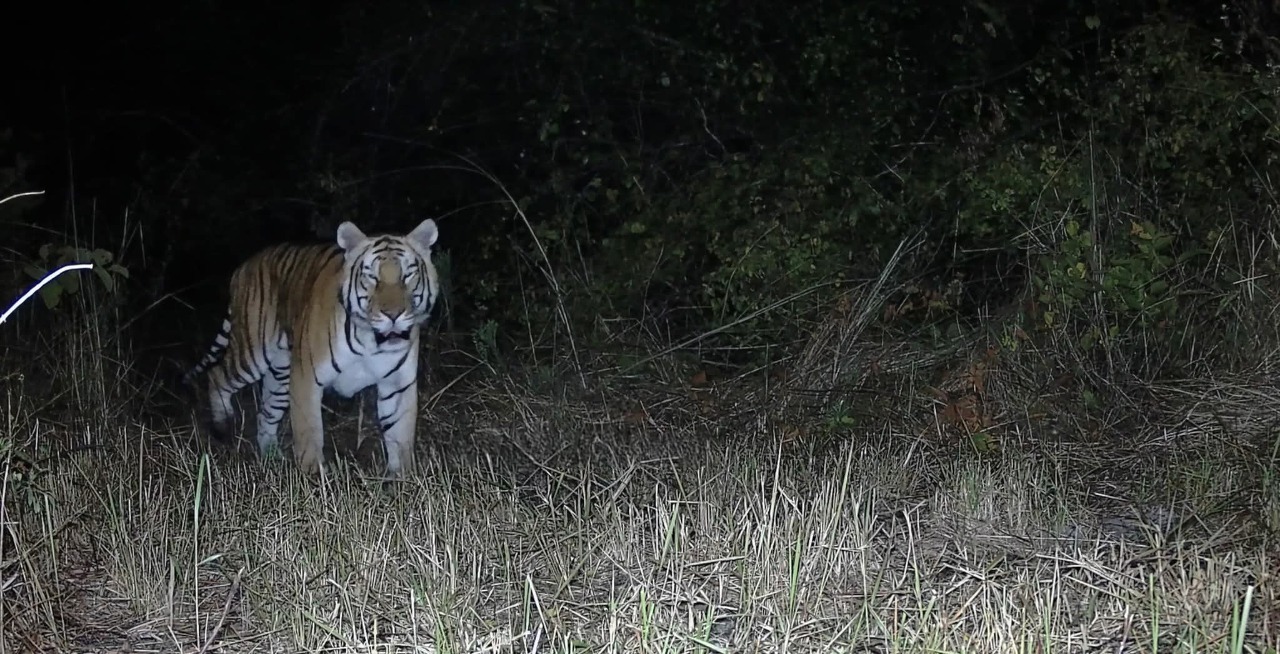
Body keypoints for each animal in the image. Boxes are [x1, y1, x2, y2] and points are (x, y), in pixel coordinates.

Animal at [183, 219, 441, 477]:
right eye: (371, 277)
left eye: (408, 274)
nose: (393, 315)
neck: (371, 340)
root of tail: (243, 266)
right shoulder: (306, 378)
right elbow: (309, 432)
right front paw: (314, 478)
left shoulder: (398, 384)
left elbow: (400, 437)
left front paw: (404, 479)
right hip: (253, 352)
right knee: (217, 374)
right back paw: (223, 425)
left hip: (281, 374)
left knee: (265, 413)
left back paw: (272, 458)